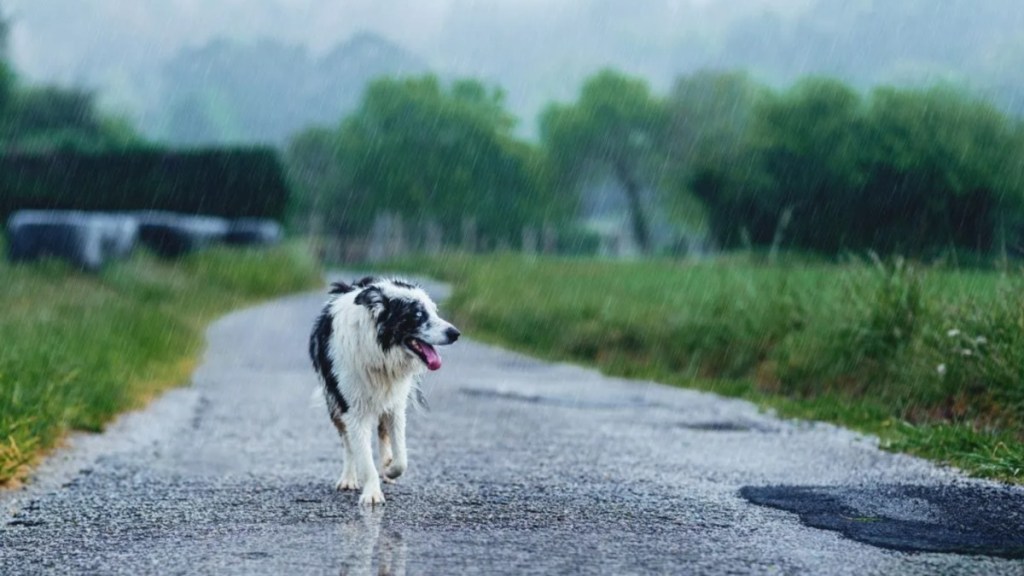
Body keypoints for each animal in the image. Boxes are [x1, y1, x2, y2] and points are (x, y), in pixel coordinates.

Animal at [307, 276, 460, 504]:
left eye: (434, 311)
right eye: (417, 315)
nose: (455, 333)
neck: (379, 352)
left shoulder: (396, 404)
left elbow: (401, 456)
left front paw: (389, 470)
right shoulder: (352, 409)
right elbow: (363, 456)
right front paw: (372, 493)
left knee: (382, 433)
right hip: (335, 402)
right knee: (348, 443)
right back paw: (348, 478)